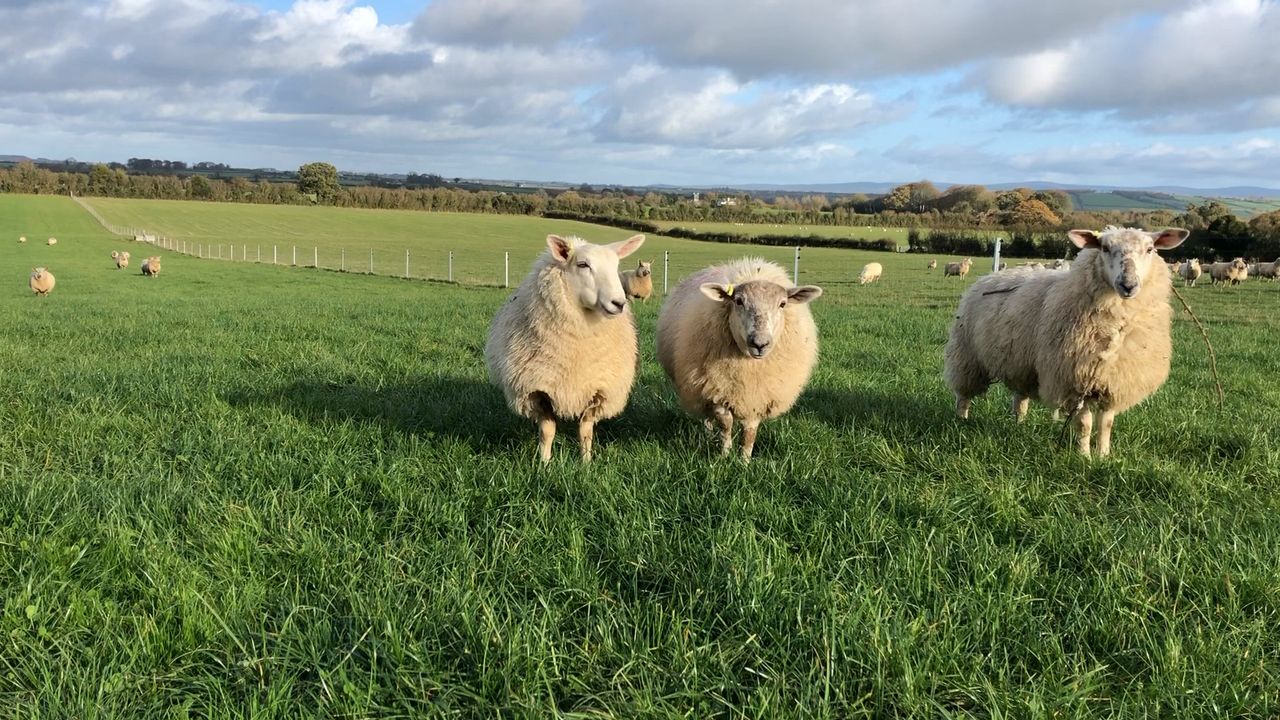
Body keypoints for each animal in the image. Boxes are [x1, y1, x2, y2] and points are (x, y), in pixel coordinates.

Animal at [485, 233, 645, 462]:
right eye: (583, 264)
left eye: (616, 266)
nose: (619, 303)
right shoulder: (539, 389)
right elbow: (547, 431)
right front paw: (544, 463)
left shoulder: (597, 389)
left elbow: (585, 432)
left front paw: (586, 463)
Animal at [656, 257, 823, 461]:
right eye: (738, 301)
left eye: (783, 304)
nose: (759, 343)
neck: (748, 365)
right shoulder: (715, 388)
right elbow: (726, 423)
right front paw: (725, 455)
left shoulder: (756, 394)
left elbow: (750, 430)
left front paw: (744, 459)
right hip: (698, 385)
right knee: (707, 416)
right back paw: (708, 433)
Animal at [943, 226, 1189, 457]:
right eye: (1104, 248)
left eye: (1150, 249)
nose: (1128, 285)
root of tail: (990, 276)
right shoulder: (1074, 381)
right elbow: (1085, 424)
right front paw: (1084, 456)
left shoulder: (1112, 381)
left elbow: (1106, 424)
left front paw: (1104, 455)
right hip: (967, 356)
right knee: (963, 394)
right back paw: (961, 420)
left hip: (1022, 364)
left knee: (1020, 399)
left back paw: (1018, 424)